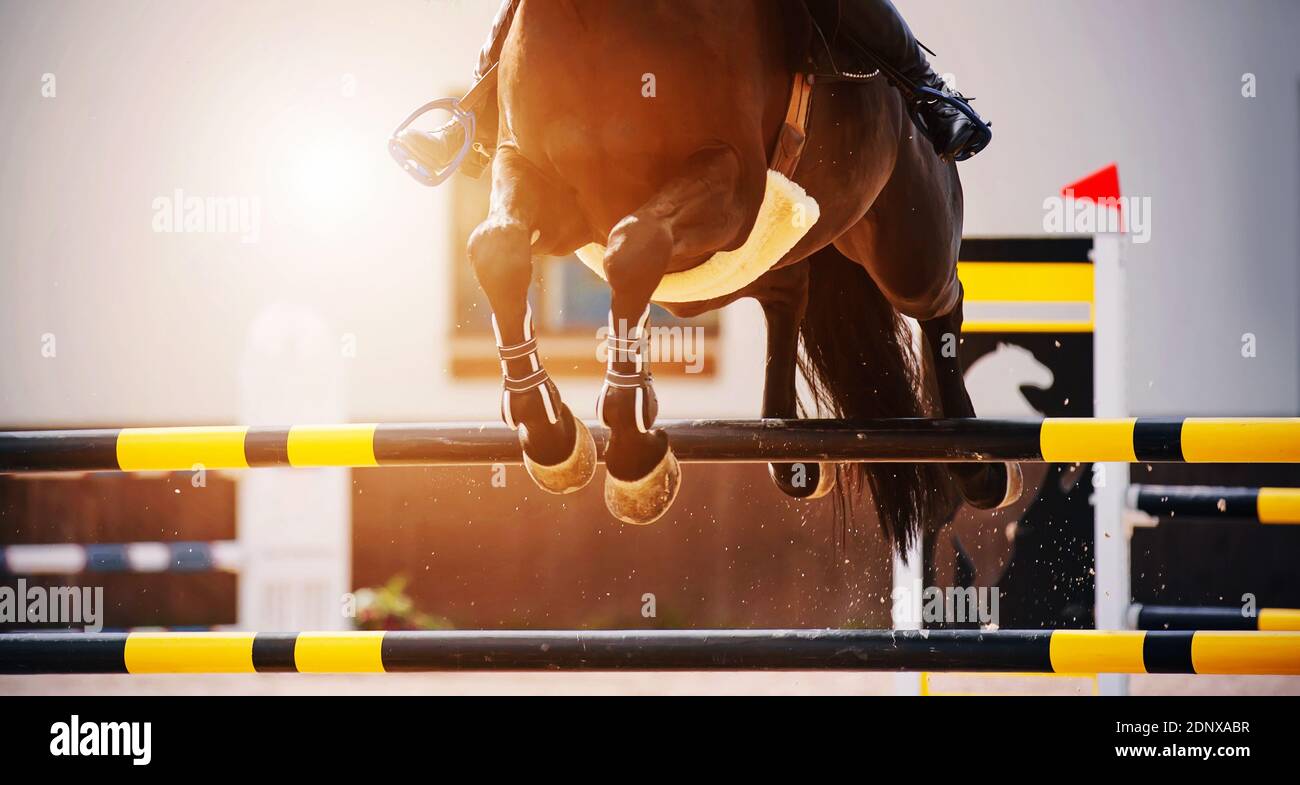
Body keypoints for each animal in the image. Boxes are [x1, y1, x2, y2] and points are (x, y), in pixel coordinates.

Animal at [462, 0, 1019, 551]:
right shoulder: (537, 177)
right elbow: (497, 248)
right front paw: (547, 432)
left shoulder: (731, 180)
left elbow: (634, 247)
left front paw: (634, 450)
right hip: (716, 276)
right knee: (788, 288)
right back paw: (786, 447)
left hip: (907, 250)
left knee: (941, 302)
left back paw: (978, 465)